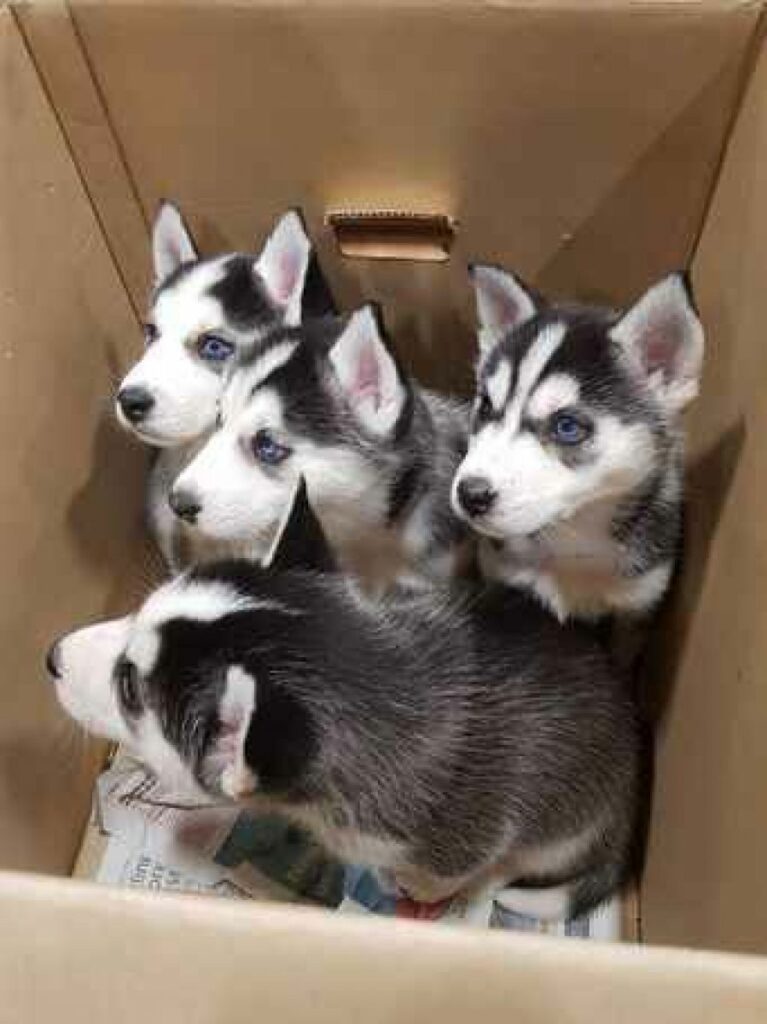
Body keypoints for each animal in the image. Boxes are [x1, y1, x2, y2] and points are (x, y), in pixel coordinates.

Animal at [48, 478, 643, 920]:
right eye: (138, 611)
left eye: (128, 687)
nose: (51, 655)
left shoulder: (468, 835)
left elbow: (456, 866)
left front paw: (420, 888)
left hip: (564, 830)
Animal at [452, 266, 704, 624]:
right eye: (486, 407)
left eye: (567, 426)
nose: (470, 494)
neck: (573, 541)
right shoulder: (500, 573)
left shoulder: (638, 606)